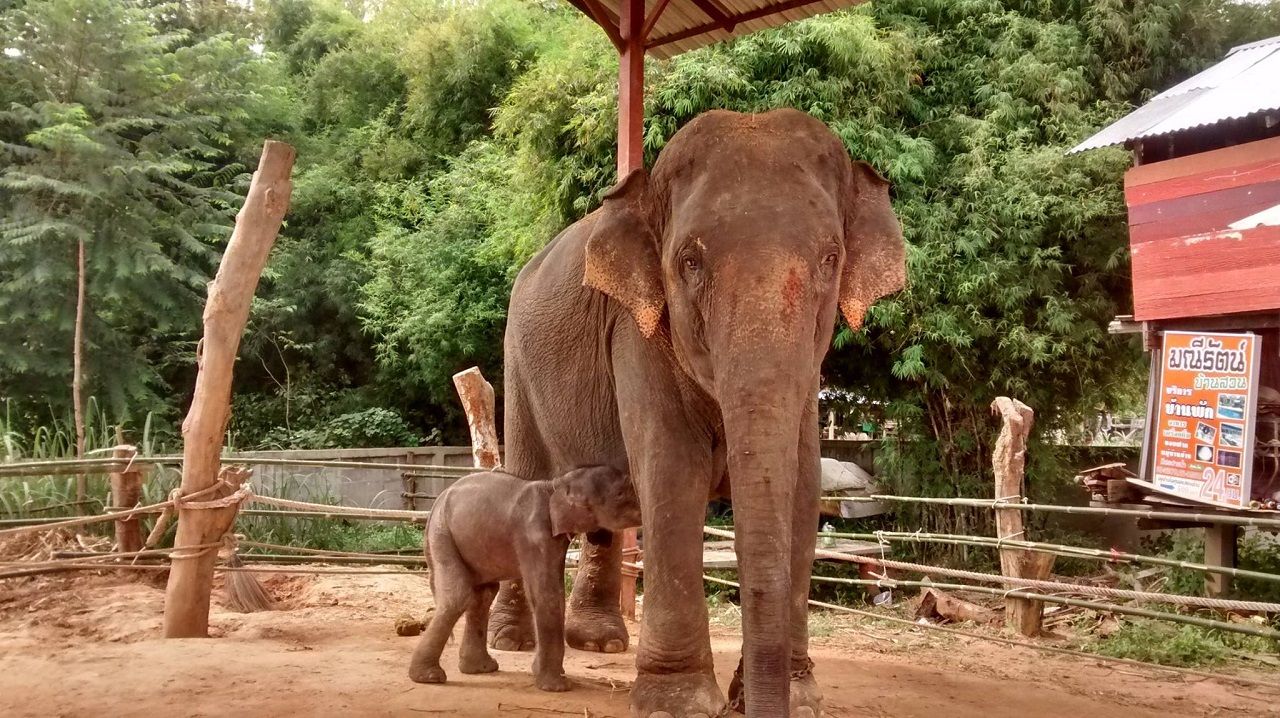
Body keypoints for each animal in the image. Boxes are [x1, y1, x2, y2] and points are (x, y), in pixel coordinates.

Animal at [407, 465, 637, 691]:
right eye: (621, 494)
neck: (555, 485)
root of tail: (436, 503)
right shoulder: (534, 535)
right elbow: (546, 593)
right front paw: (558, 686)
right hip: (442, 535)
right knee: (459, 596)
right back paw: (429, 677)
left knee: (483, 594)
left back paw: (481, 668)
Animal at [486, 107, 901, 716]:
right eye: (689, 261)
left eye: (831, 258)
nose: (749, 704)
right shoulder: (637, 333)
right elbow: (672, 474)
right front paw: (677, 703)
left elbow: (802, 491)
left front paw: (799, 700)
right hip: (516, 360)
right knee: (526, 483)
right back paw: (512, 639)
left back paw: (601, 642)